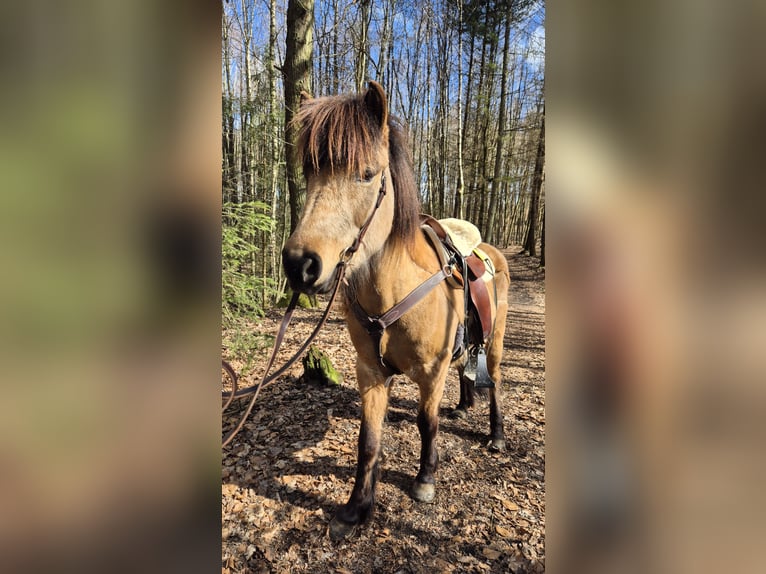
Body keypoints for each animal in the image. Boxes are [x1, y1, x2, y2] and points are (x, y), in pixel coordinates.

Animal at [282, 81, 510, 540]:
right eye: (310, 171)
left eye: (367, 174)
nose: (300, 265)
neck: (393, 291)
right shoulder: (369, 372)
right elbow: (368, 440)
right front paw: (357, 508)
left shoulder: (431, 371)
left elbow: (427, 423)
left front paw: (425, 479)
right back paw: (464, 405)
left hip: (494, 342)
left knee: (493, 380)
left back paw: (495, 434)